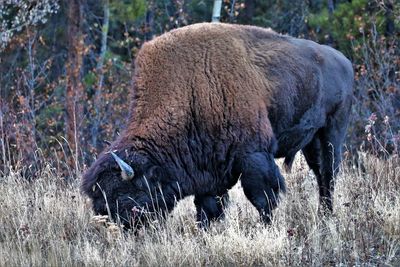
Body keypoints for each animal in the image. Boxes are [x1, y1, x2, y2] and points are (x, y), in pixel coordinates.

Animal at [81, 22, 354, 228]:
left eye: (124, 197)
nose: (127, 231)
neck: (189, 89)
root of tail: (344, 61)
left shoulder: (253, 154)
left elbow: (262, 197)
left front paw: (266, 227)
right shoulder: (208, 168)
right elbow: (208, 207)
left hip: (333, 130)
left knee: (329, 173)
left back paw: (326, 216)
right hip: (311, 141)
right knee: (320, 174)